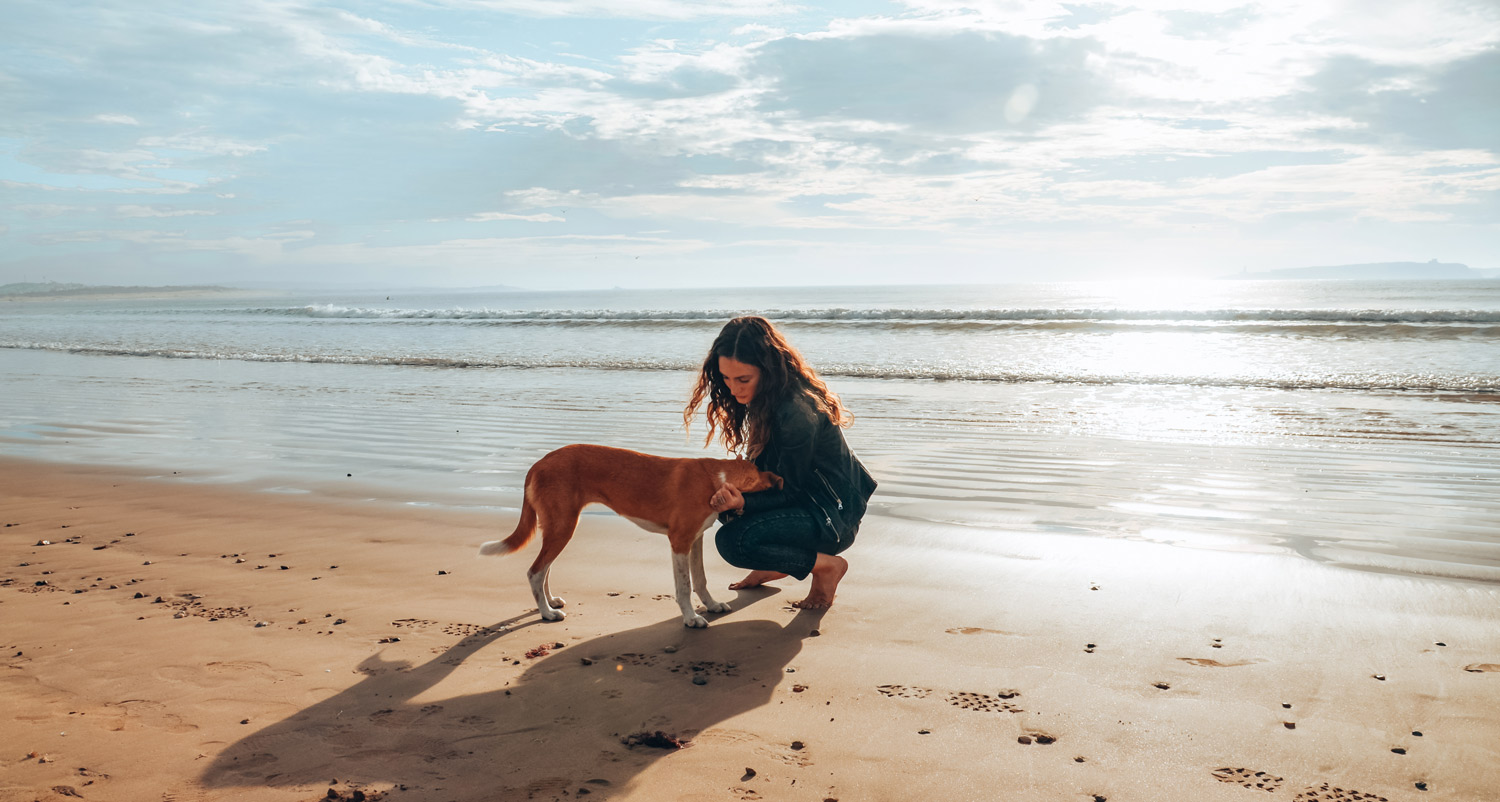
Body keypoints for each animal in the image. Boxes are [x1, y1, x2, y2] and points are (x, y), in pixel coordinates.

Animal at [480, 446, 786, 626]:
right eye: (762, 474)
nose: (781, 479)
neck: (716, 477)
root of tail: (540, 462)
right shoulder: (679, 541)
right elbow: (684, 586)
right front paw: (690, 617)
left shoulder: (696, 539)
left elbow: (700, 579)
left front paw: (711, 605)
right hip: (563, 526)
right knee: (535, 571)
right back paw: (546, 613)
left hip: (559, 527)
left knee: (544, 569)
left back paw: (549, 602)